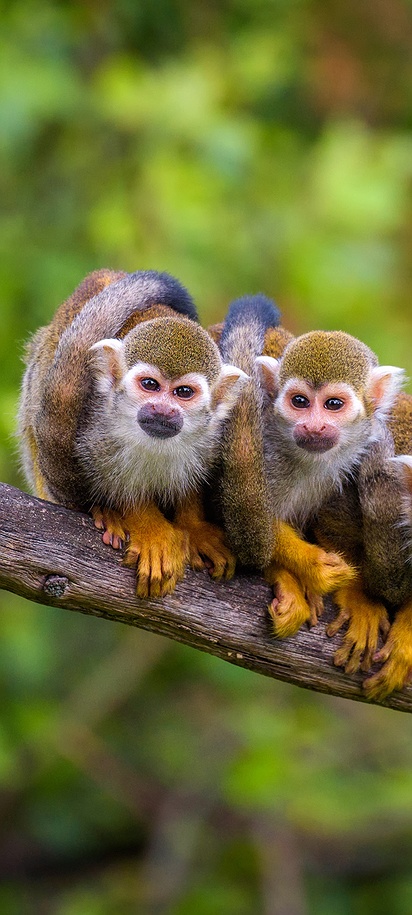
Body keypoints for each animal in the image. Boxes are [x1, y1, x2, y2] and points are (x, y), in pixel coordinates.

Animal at [18, 269, 247, 598]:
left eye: (184, 392)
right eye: (150, 385)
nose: (162, 410)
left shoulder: (215, 433)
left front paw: (193, 526)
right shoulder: (95, 427)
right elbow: (113, 483)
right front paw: (148, 527)